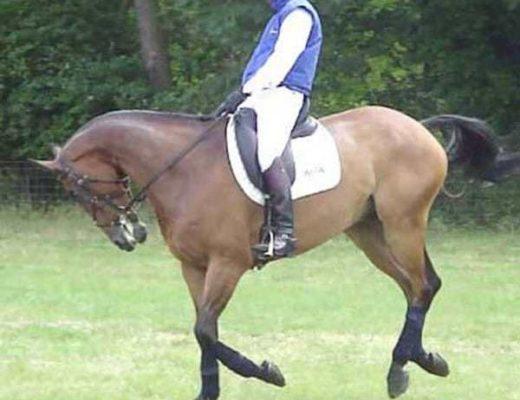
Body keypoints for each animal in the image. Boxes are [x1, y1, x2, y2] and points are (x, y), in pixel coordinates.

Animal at [34, 107, 498, 400]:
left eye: (79, 188)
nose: (128, 236)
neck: (184, 171)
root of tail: (415, 126)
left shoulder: (228, 264)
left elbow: (205, 331)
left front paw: (267, 372)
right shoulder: (193, 268)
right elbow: (205, 331)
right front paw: (210, 390)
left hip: (403, 224)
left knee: (423, 285)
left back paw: (400, 369)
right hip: (369, 233)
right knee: (416, 287)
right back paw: (422, 361)